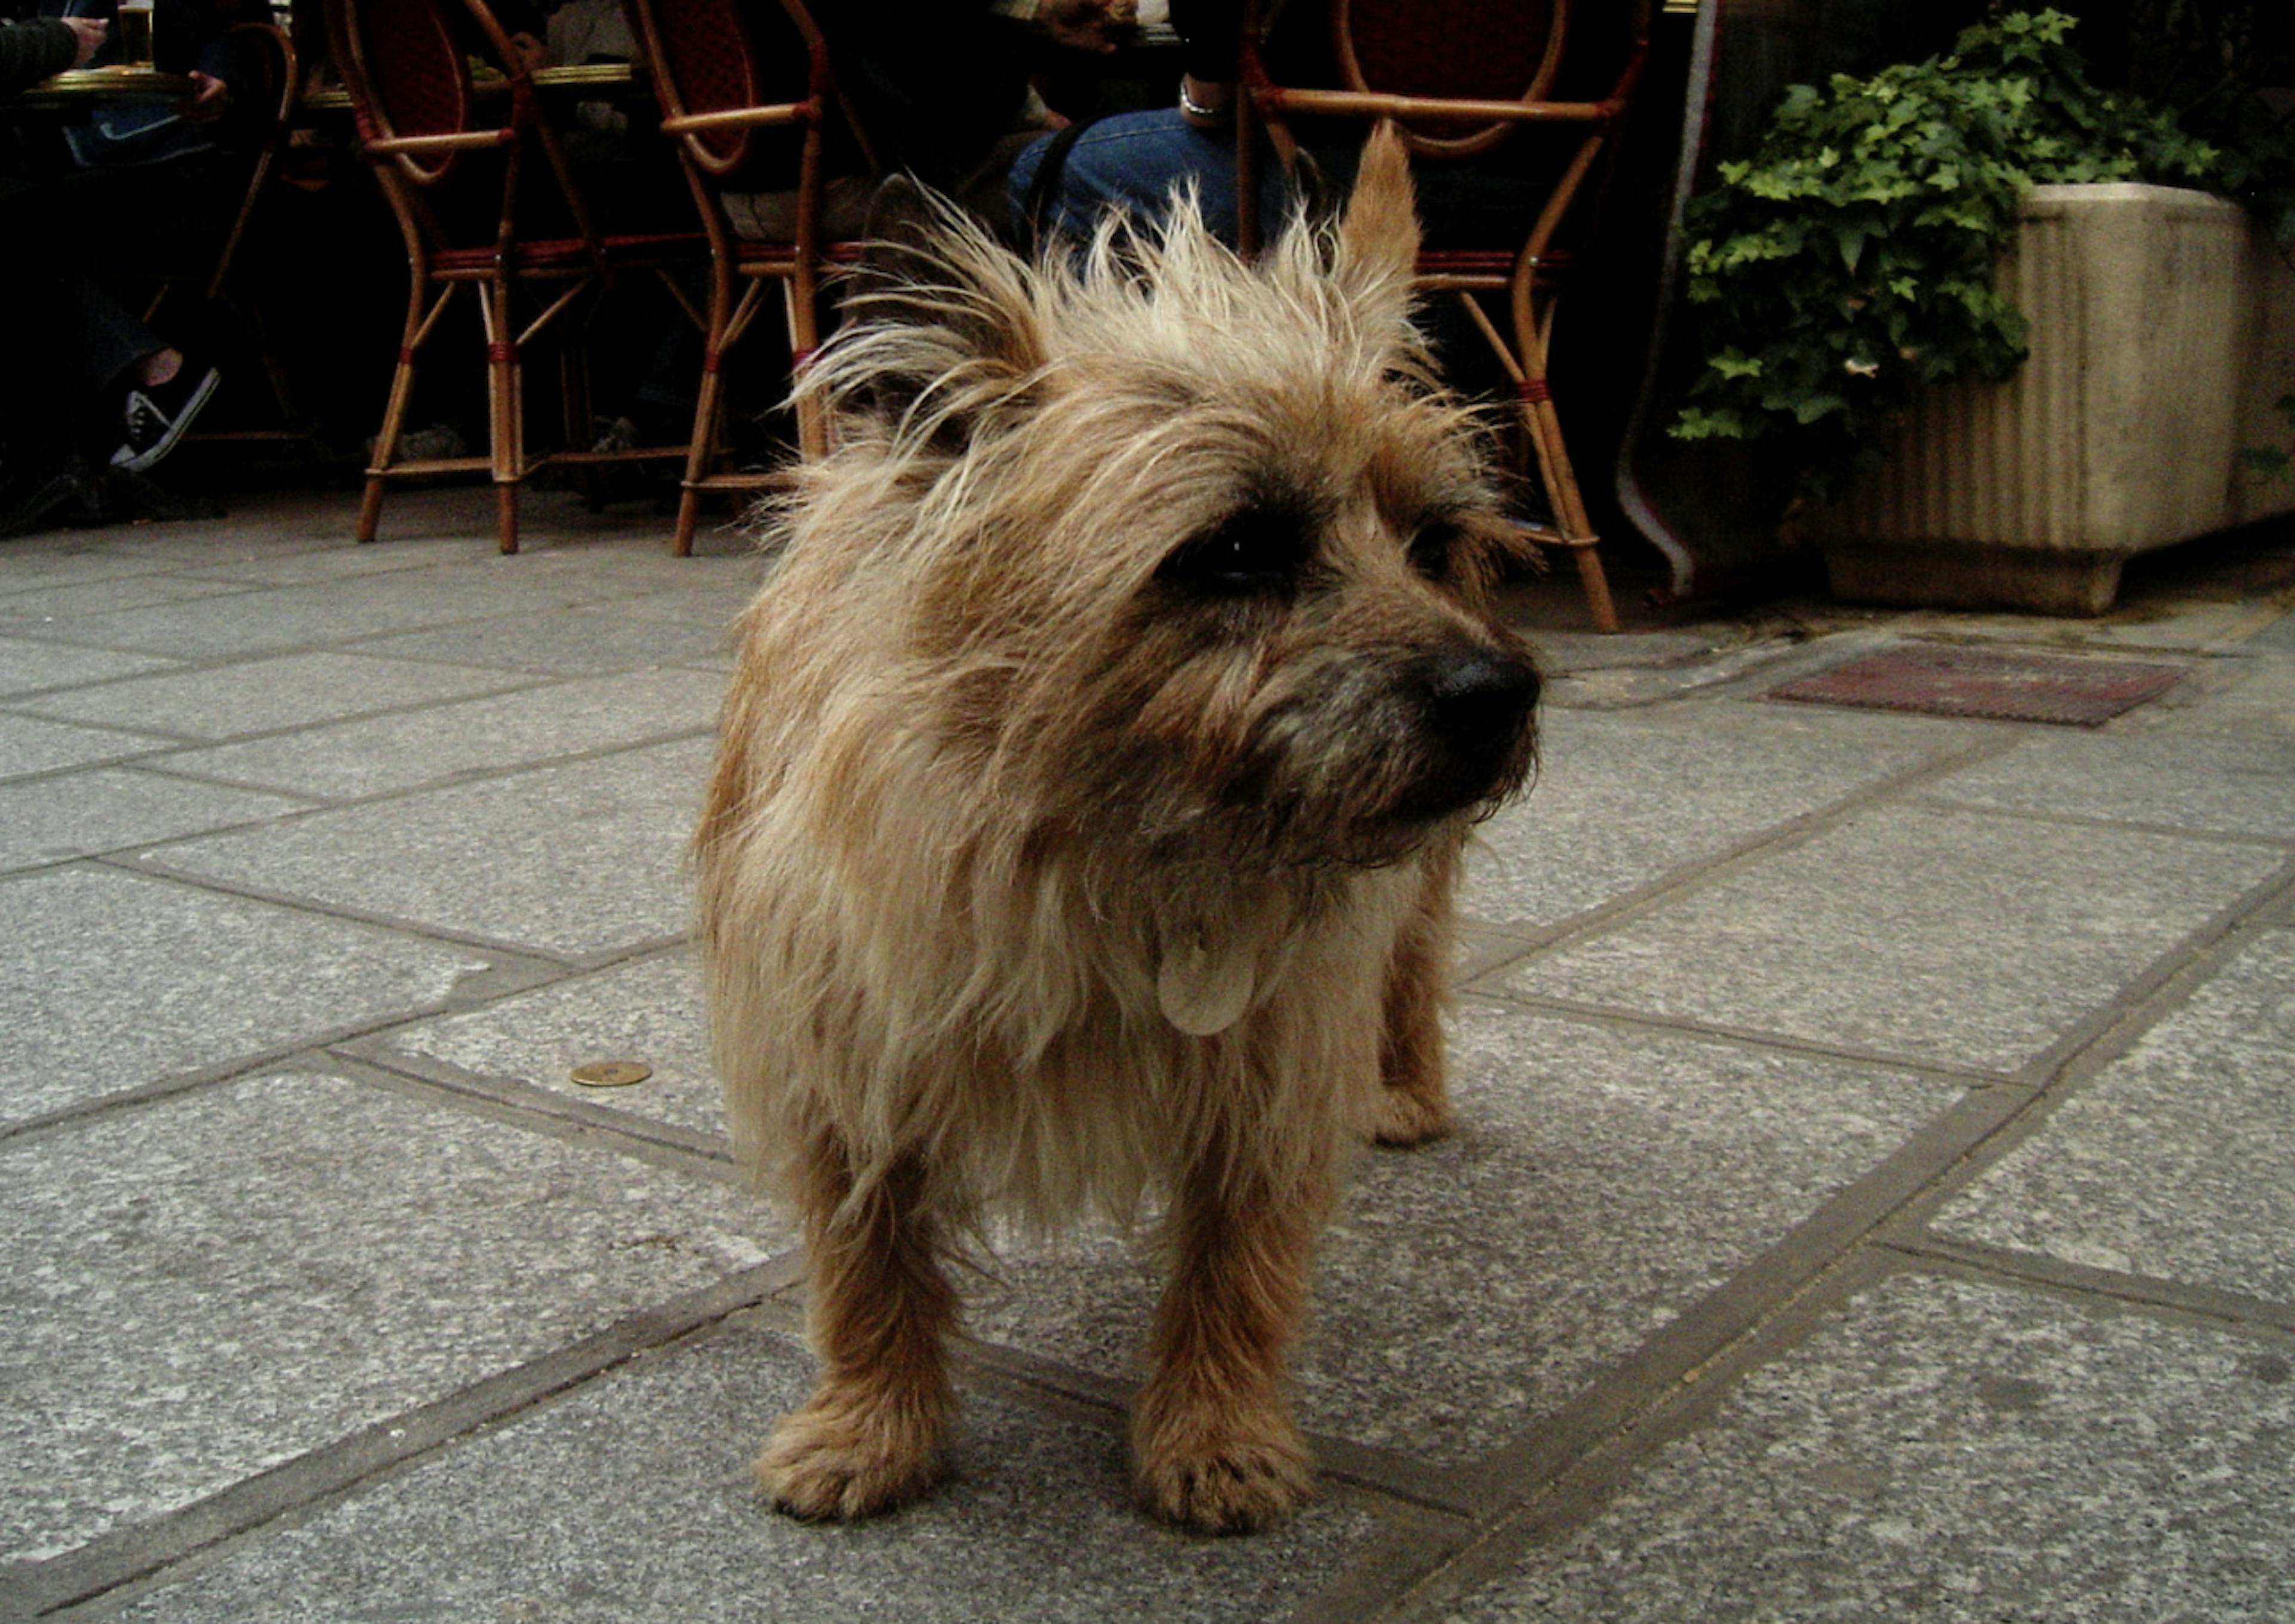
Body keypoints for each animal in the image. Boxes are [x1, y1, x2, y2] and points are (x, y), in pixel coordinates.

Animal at [688, 130, 1533, 1532]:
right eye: (1237, 547)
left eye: (1433, 540)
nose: (1500, 690)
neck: (1109, 843)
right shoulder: (841, 1040)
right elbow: (865, 1252)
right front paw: (871, 1424)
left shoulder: (1272, 1056)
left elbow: (1238, 1262)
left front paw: (1216, 1431)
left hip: (1412, 892)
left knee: (1413, 964)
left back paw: (1406, 1089)